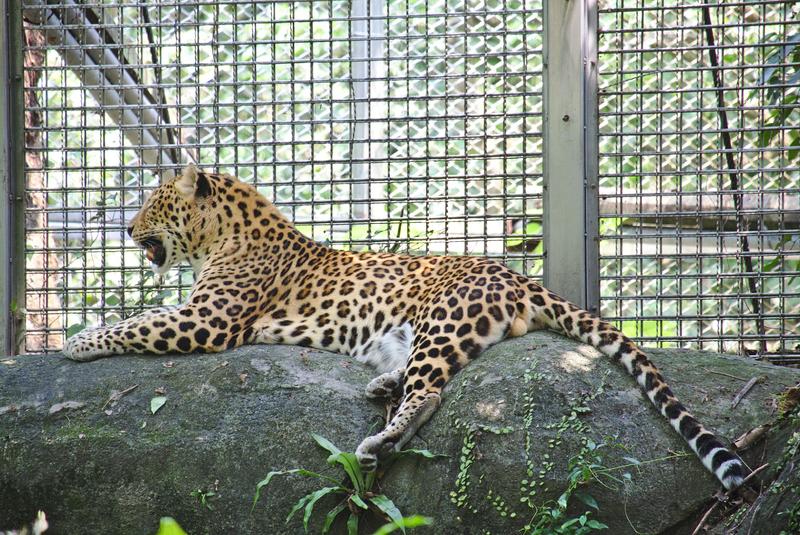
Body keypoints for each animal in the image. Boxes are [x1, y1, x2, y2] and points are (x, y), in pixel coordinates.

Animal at [64, 165, 752, 492]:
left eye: (151, 204)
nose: (126, 228)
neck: (222, 236)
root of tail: (519, 276)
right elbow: (142, 318)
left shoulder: (206, 321)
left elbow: (137, 323)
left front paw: (76, 342)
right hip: (407, 331)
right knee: (414, 375)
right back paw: (379, 389)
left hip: (443, 322)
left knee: (431, 394)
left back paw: (380, 441)